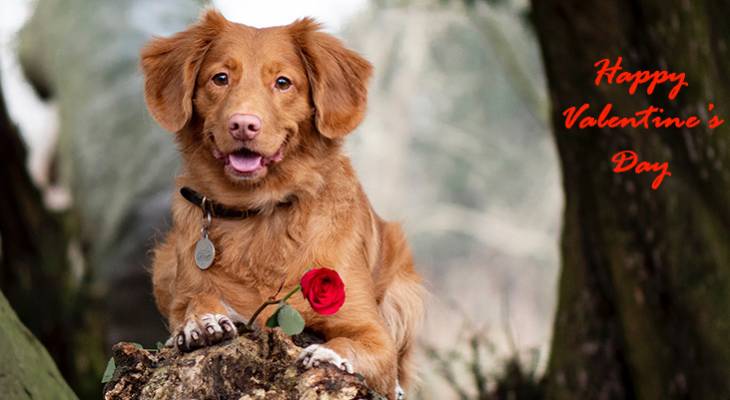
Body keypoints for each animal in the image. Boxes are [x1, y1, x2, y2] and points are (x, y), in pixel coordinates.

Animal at [140, 10, 424, 400]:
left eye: (283, 82)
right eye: (220, 78)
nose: (243, 124)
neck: (259, 211)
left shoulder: (372, 331)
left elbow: (361, 345)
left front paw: (329, 354)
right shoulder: (187, 289)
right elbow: (193, 301)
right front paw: (202, 319)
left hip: (404, 290)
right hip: (164, 261)